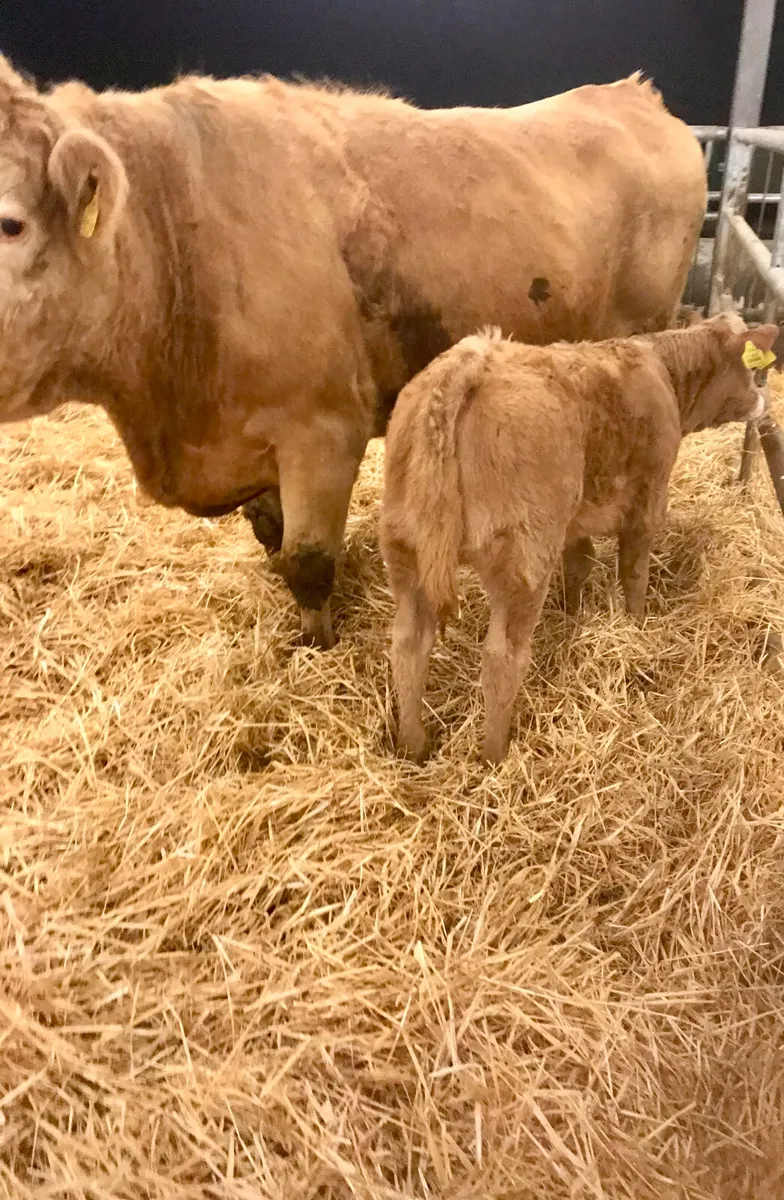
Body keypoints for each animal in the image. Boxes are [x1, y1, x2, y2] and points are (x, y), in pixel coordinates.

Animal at [0, 56, 706, 649]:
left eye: (10, 223)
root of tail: (631, 93)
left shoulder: (324, 429)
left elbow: (308, 561)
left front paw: (319, 644)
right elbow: (273, 539)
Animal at [380, 315, 778, 765]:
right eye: (750, 369)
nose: (762, 402)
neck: (662, 371)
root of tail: (475, 359)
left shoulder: (574, 522)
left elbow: (578, 564)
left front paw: (573, 616)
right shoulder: (648, 499)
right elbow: (634, 571)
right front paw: (635, 626)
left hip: (405, 549)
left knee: (409, 645)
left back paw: (413, 747)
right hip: (522, 562)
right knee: (501, 658)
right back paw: (495, 754)